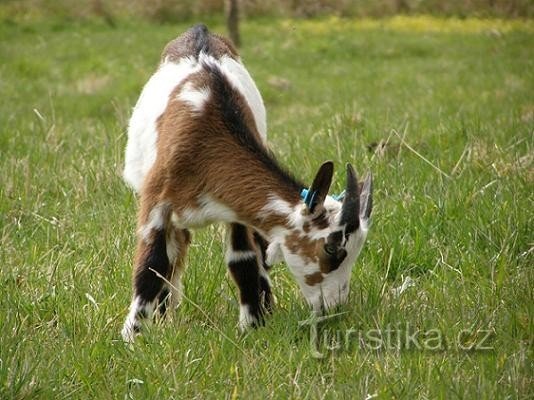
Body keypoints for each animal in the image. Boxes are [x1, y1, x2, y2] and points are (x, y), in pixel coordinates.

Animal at [122, 23, 374, 340]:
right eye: (331, 248)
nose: (334, 307)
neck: (207, 137)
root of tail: (199, 29)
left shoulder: (237, 209)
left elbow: (242, 259)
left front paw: (252, 324)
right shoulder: (156, 202)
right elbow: (151, 264)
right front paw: (133, 336)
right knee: (174, 252)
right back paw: (164, 313)